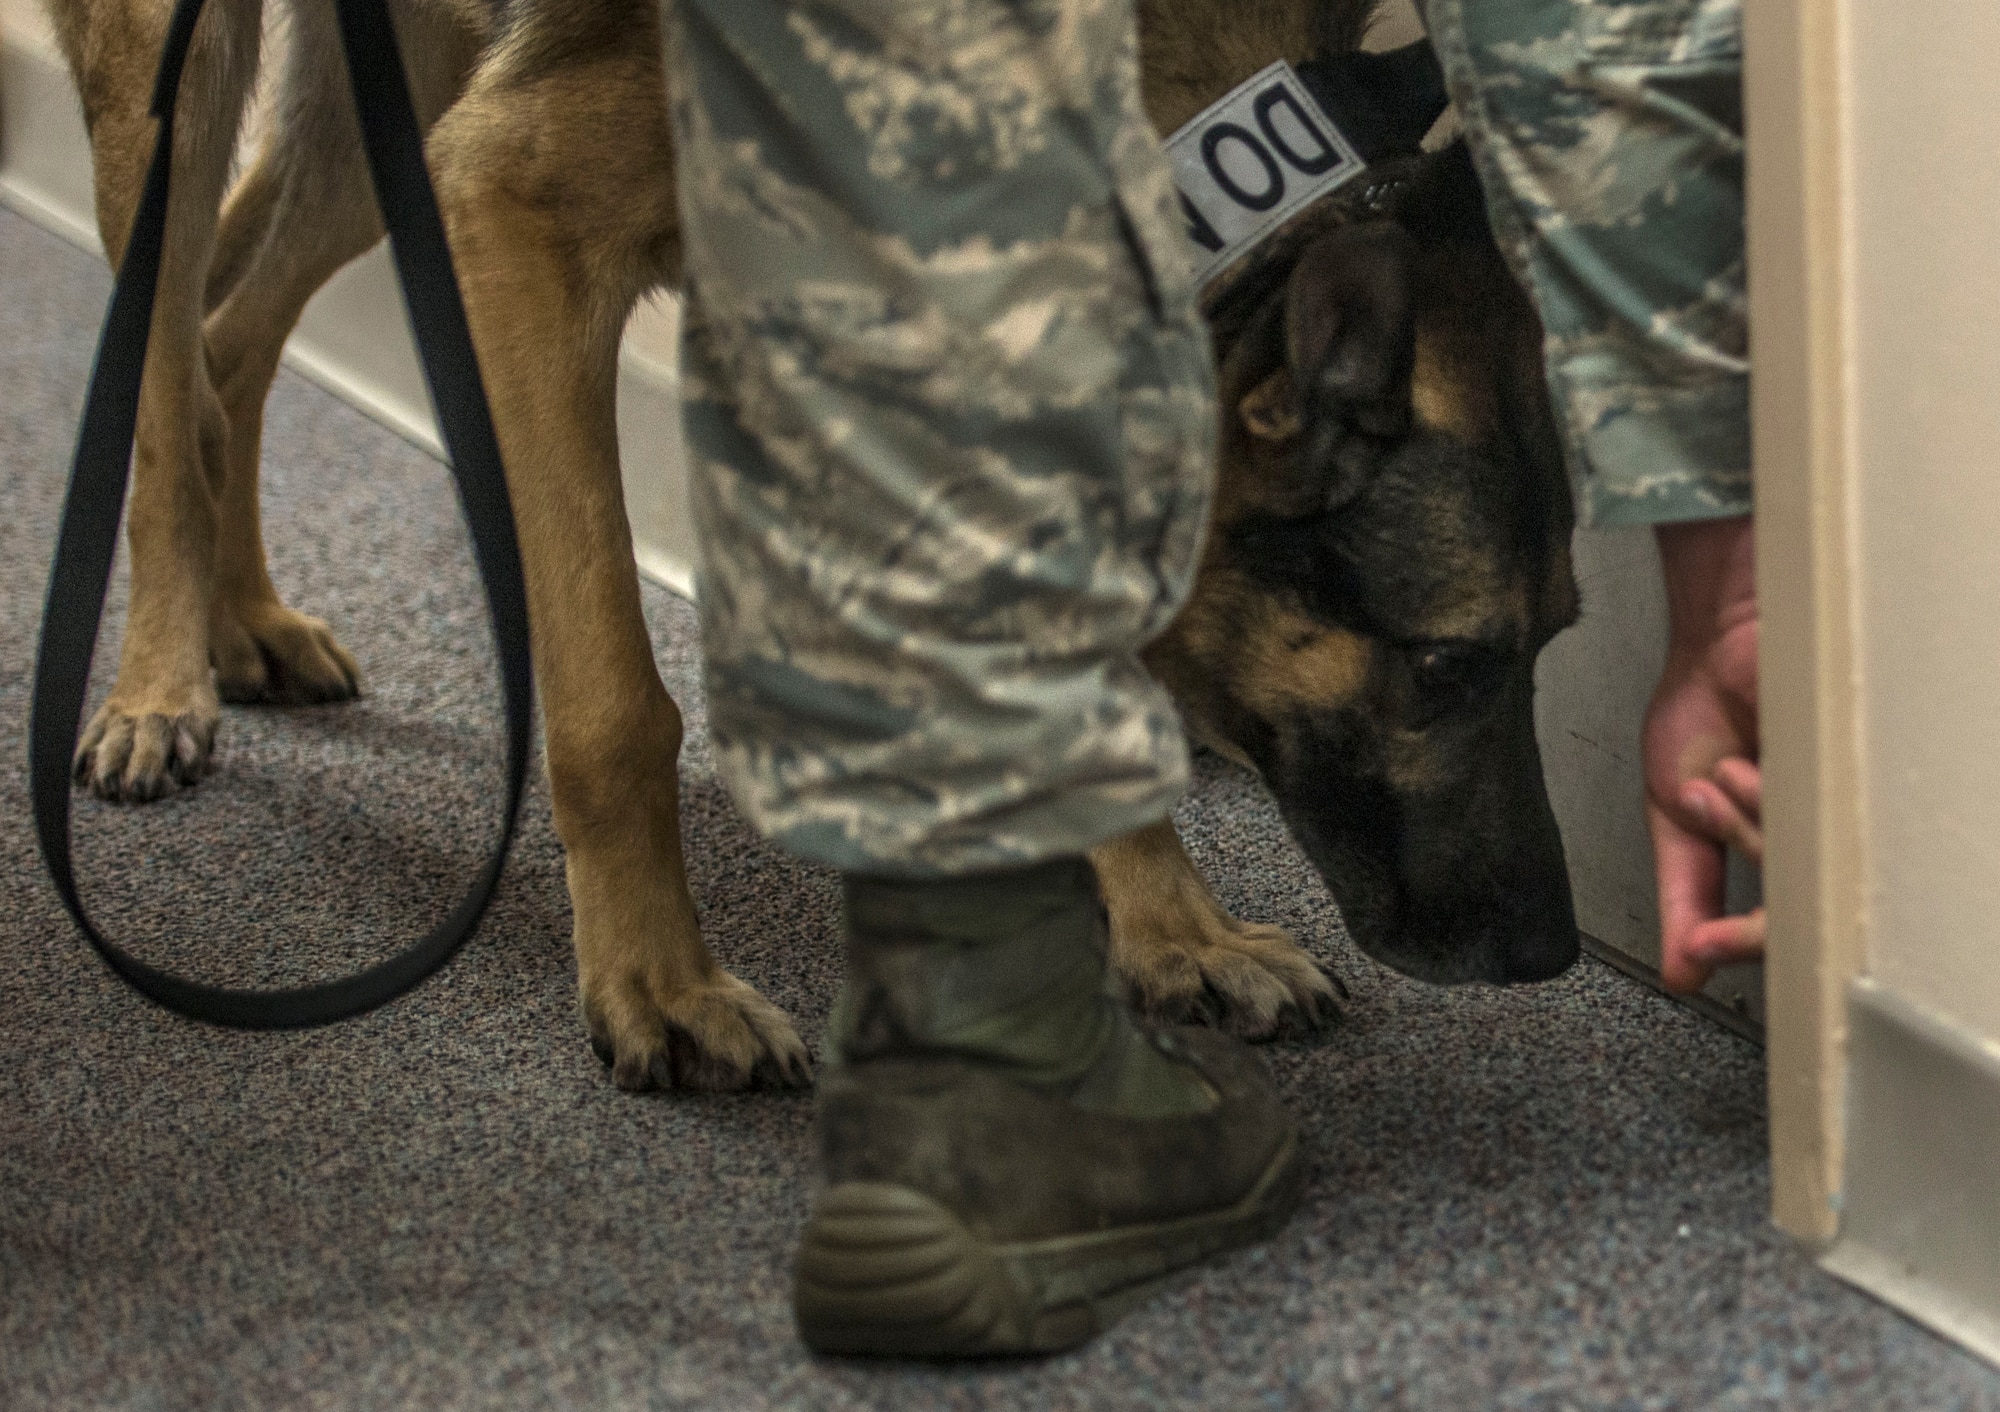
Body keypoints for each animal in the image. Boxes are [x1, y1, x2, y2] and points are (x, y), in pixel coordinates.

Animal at [43, 0, 1576, 1088]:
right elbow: (613, 701)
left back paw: (246, 621)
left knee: (225, 342)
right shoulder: (512, 212)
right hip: (188, 84)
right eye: (1444, 664)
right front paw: (659, 983)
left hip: (388, 106)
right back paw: (160, 686)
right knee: (158, 387)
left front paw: (1172, 929)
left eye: (1555, 638)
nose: (1549, 951)